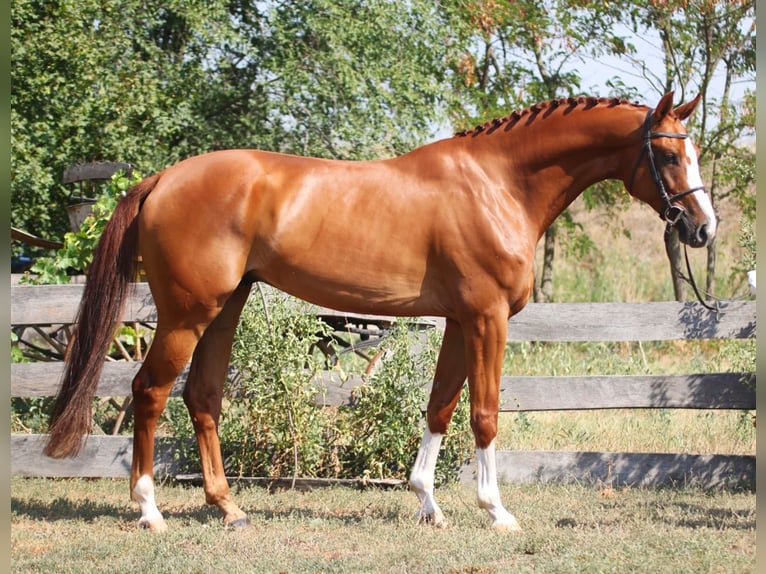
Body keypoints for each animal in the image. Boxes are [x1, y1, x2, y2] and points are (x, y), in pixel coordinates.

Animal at [45, 92, 716, 532]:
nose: (703, 229)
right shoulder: (487, 318)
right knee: (149, 392)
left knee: (202, 396)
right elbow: (484, 414)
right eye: (668, 156)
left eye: (694, 152)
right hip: (187, 314)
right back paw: (150, 511)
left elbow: (441, 406)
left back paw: (229, 509)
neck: (497, 183)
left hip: (225, 306)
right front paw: (496, 511)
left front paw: (428, 503)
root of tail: (162, 179)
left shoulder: (459, 320)